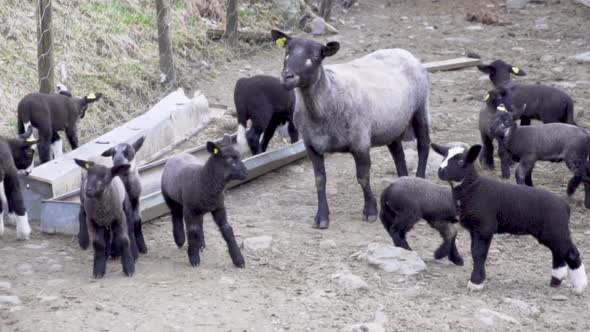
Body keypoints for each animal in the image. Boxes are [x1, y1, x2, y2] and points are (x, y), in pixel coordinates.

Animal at [160, 134, 247, 268]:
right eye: (229, 160)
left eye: (239, 155)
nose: (246, 172)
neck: (203, 180)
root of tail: (178, 154)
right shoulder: (189, 209)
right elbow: (192, 231)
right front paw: (194, 258)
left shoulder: (219, 207)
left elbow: (227, 230)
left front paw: (238, 259)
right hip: (171, 198)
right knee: (176, 216)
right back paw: (180, 239)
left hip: (199, 209)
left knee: (199, 223)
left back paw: (200, 244)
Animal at [272, 29, 430, 230]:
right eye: (287, 52)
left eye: (316, 56)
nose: (287, 77)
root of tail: (403, 51)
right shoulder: (311, 145)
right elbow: (319, 180)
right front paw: (321, 217)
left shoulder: (360, 142)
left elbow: (363, 177)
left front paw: (370, 211)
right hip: (392, 123)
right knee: (398, 154)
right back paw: (402, 184)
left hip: (421, 107)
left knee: (424, 145)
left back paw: (419, 180)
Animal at [432, 143, 588, 294]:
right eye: (444, 157)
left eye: (460, 161)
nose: (440, 170)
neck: (473, 189)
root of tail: (565, 206)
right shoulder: (474, 228)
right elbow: (475, 251)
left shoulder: (484, 227)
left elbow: (478, 253)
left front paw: (476, 283)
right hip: (549, 232)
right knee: (558, 252)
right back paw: (556, 280)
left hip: (555, 229)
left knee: (571, 253)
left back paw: (580, 286)